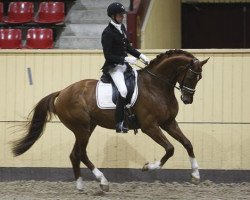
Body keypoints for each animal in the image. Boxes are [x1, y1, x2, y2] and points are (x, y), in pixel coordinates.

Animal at [11, 49, 209, 191]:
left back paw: (81, 186)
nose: (187, 99)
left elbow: (187, 144)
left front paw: (196, 176)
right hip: (82, 129)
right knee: (81, 154)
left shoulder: (168, 123)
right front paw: (148, 167)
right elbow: (170, 149)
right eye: (192, 75)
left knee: (75, 154)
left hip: (87, 128)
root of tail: (62, 92)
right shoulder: (150, 127)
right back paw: (103, 181)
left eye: (199, 78)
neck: (156, 86)